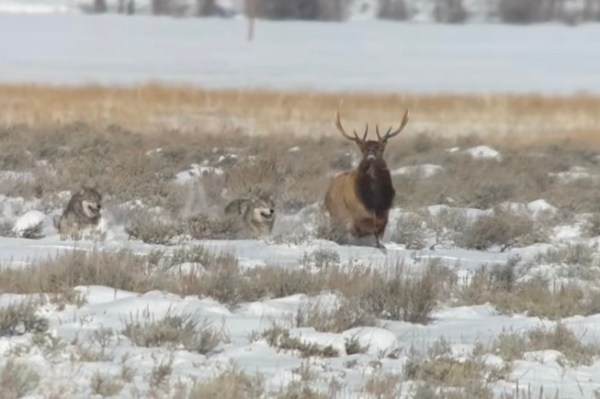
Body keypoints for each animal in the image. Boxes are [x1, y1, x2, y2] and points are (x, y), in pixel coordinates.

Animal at [326, 108, 410, 248]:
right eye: (363, 149)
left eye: (380, 148)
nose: (371, 154)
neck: (374, 202)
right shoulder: (357, 217)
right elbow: (363, 227)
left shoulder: (384, 216)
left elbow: (379, 232)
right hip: (334, 215)